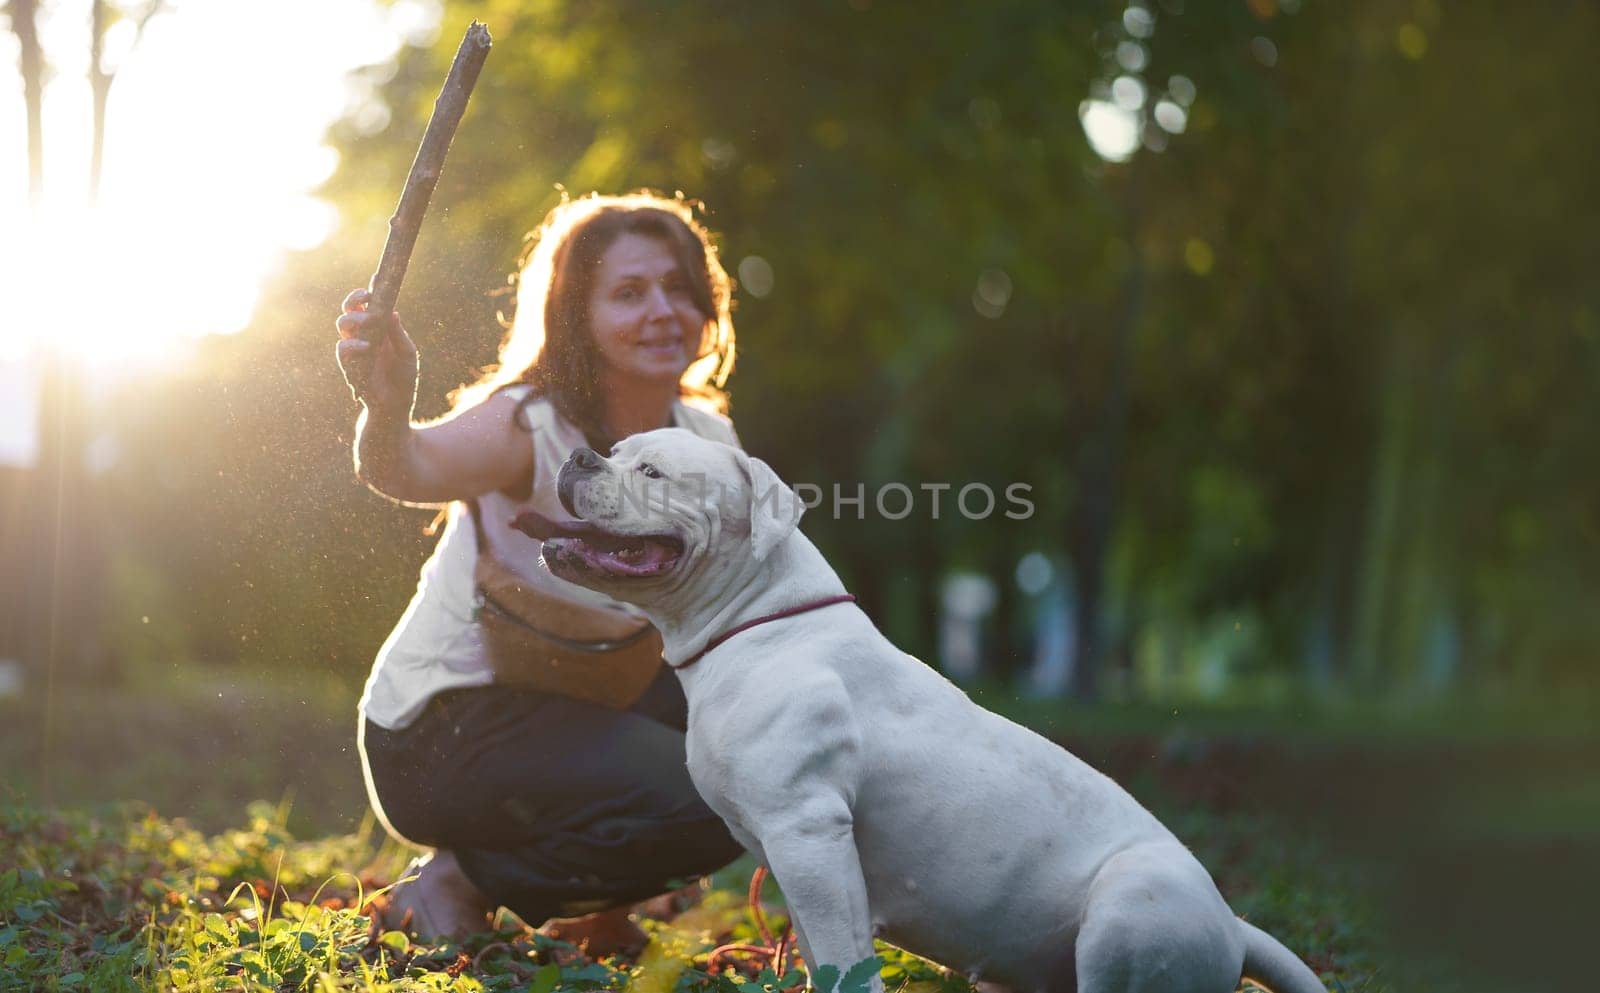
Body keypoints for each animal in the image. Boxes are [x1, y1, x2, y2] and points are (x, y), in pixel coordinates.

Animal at [512, 428, 1324, 991]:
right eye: (616, 450)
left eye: (650, 472)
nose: (579, 455)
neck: (759, 624)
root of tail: (1234, 926)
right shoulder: (794, 858)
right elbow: (820, 956)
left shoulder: (810, 832)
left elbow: (846, 965)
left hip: (1131, 904)